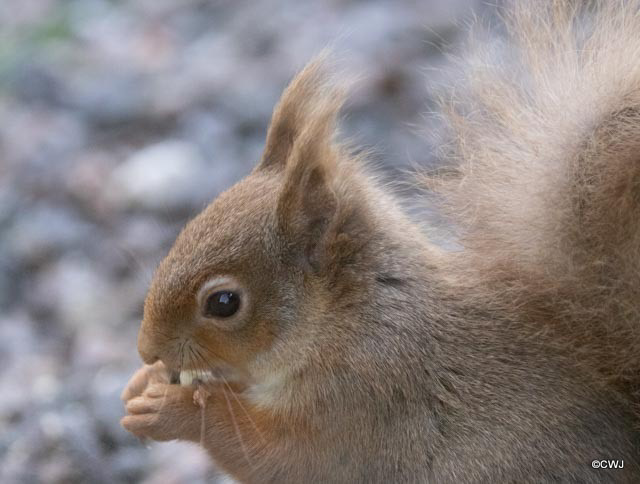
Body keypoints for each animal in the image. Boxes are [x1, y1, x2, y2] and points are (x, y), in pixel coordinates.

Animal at [120, 1, 640, 482]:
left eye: (224, 303)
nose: (147, 349)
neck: (348, 319)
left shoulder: (364, 396)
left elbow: (274, 456)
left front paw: (169, 408)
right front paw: (142, 383)